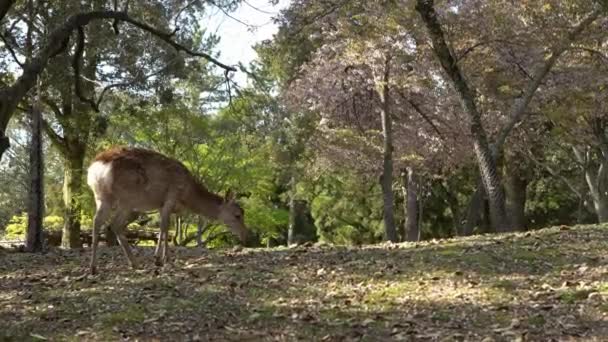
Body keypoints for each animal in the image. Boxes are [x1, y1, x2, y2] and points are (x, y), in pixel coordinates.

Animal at [85, 147, 249, 276]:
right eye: (238, 214)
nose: (245, 235)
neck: (187, 195)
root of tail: (96, 167)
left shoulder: (160, 205)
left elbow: (162, 230)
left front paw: (158, 258)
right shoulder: (171, 196)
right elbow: (165, 226)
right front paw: (164, 260)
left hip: (102, 197)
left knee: (101, 222)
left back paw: (98, 267)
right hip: (128, 198)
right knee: (114, 224)